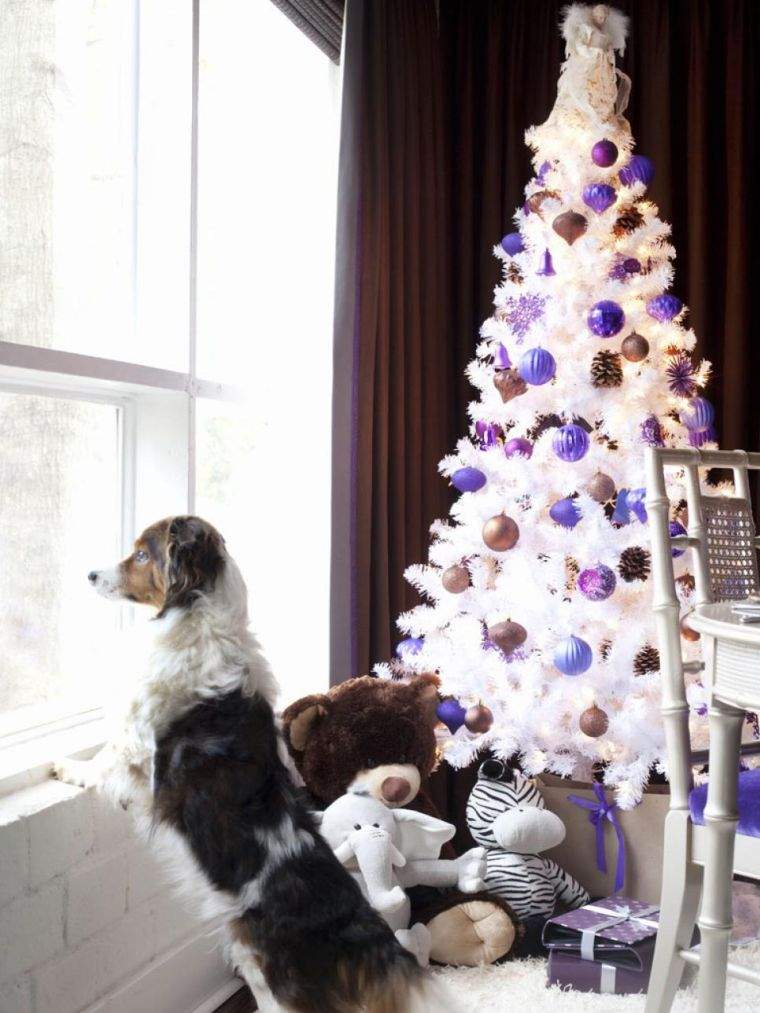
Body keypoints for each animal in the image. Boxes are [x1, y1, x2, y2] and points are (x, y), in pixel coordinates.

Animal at [58, 518, 458, 1008]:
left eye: (140, 555)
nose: (91, 575)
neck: (201, 617)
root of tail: (357, 922)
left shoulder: (133, 741)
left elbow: (100, 762)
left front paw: (63, 767)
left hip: (268, 970)